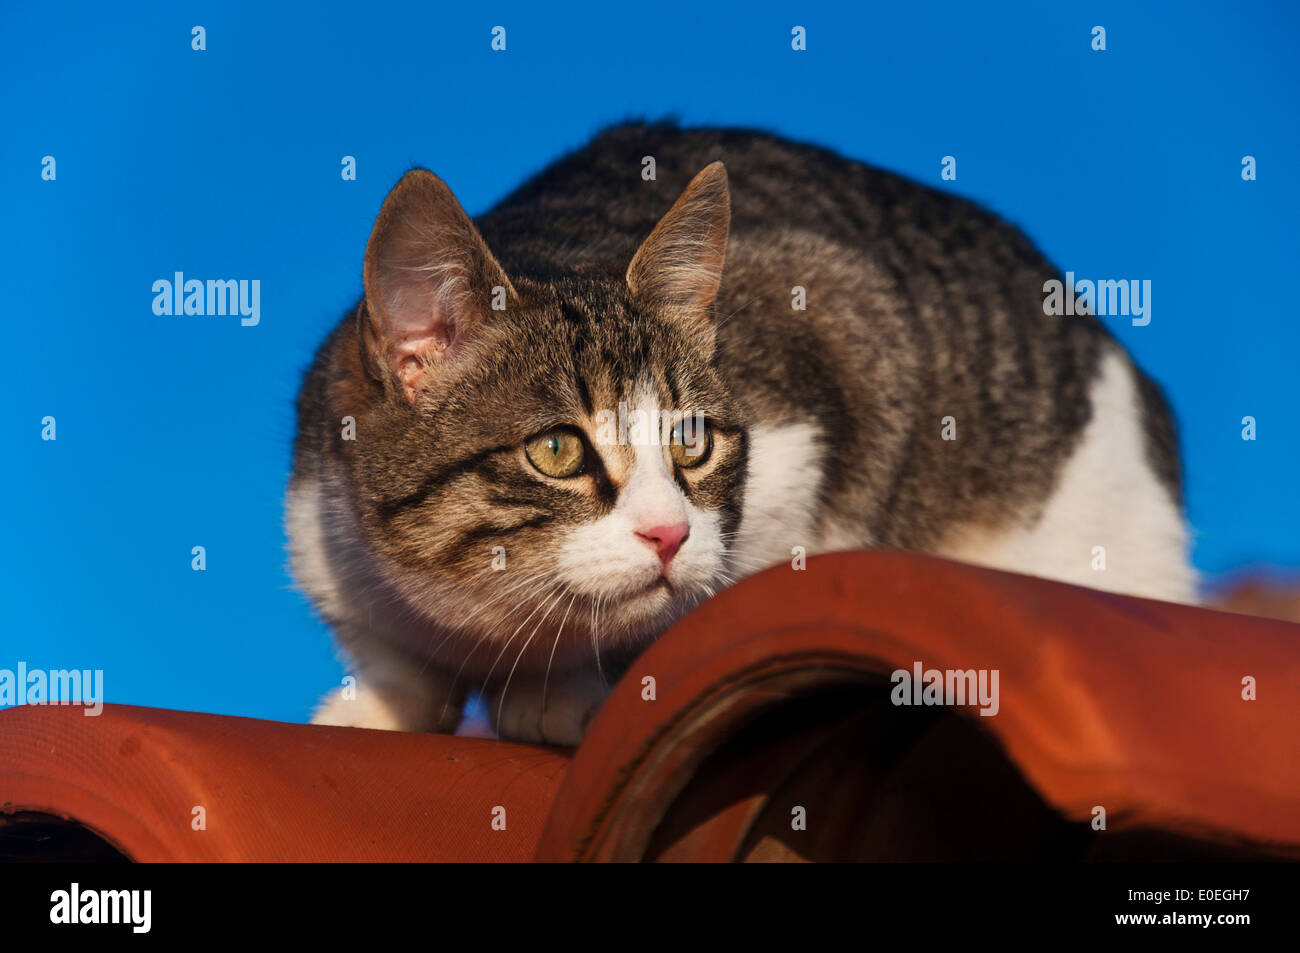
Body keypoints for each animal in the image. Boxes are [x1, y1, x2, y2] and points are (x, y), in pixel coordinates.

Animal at [287, 120, 1196, 743]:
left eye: (692, 440)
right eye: (557, 449)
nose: (668, 533)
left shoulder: (843, 335)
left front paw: (555, 686)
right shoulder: (318, 521)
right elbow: (387, 648)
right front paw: (385, 700)